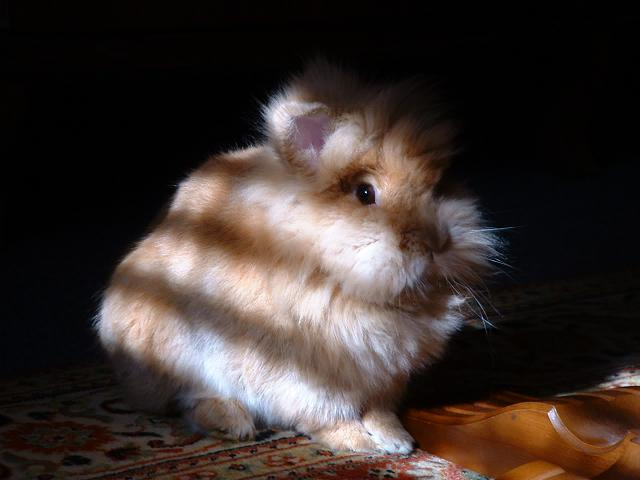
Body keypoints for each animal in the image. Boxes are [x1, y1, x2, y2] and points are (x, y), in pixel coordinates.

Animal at [95, 59, 498, 454]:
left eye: (438, 187)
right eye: (365, 193)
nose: (436, 244)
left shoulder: (383, 377)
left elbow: (379, 411)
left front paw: (397, 440)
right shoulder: (302, 371)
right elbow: (327, 412)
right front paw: (358, 443)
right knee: (187, 399)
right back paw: (233, 424)